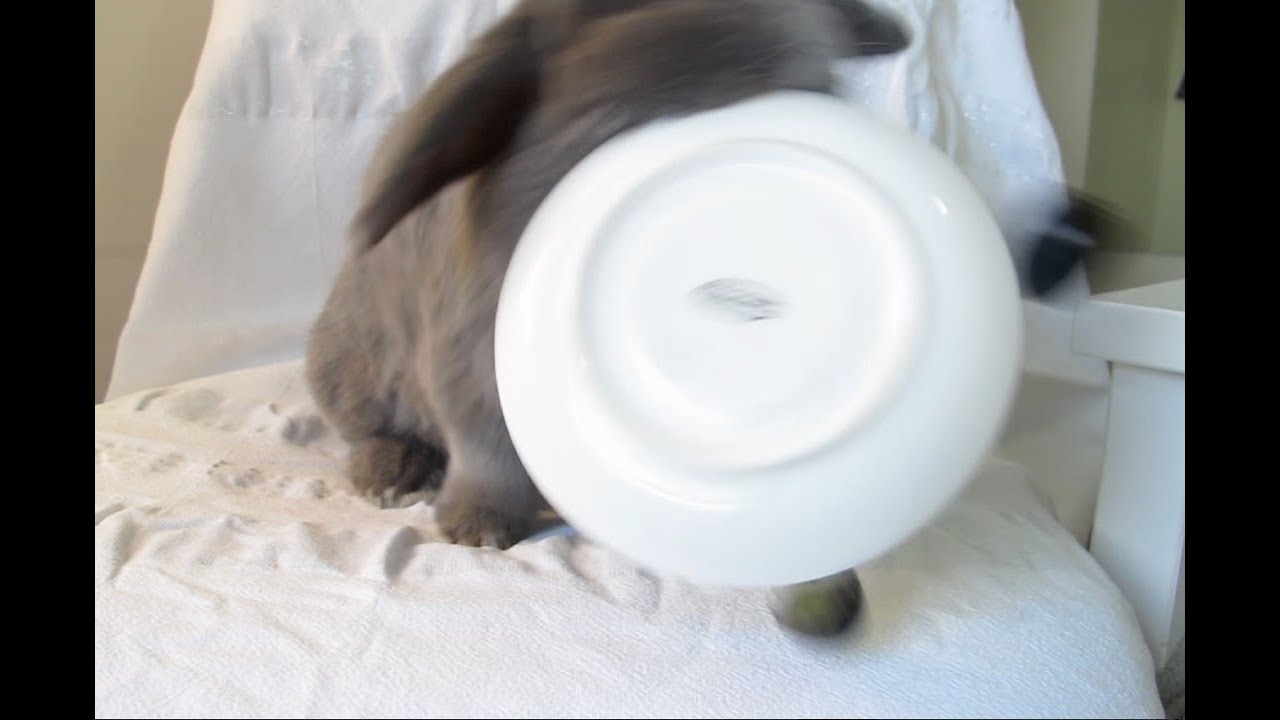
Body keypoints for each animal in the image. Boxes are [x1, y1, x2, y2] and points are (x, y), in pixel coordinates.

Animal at [306, 0, 1100, 636]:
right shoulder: (469, 369)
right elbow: (487, 456)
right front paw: (477, 531)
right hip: (355, 369)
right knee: (370, 428)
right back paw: (392, 474)